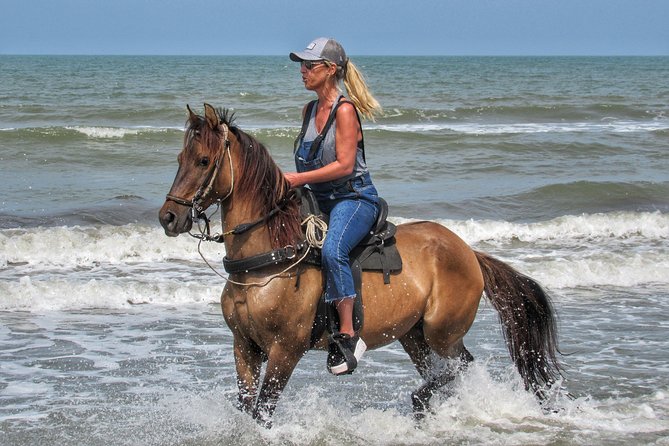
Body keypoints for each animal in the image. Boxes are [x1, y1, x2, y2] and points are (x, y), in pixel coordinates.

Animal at [159, 103, 561, 427]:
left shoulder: (284, 350)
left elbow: (262, 411)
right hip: (414, 336)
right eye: (178, 160)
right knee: (446, 374)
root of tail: (469, 253)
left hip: (442, 332)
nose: (168, 218)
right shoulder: (243, 347)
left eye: (203, 161)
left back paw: (419, 400)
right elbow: (246, 408)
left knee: (461, 366)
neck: (266, 260)